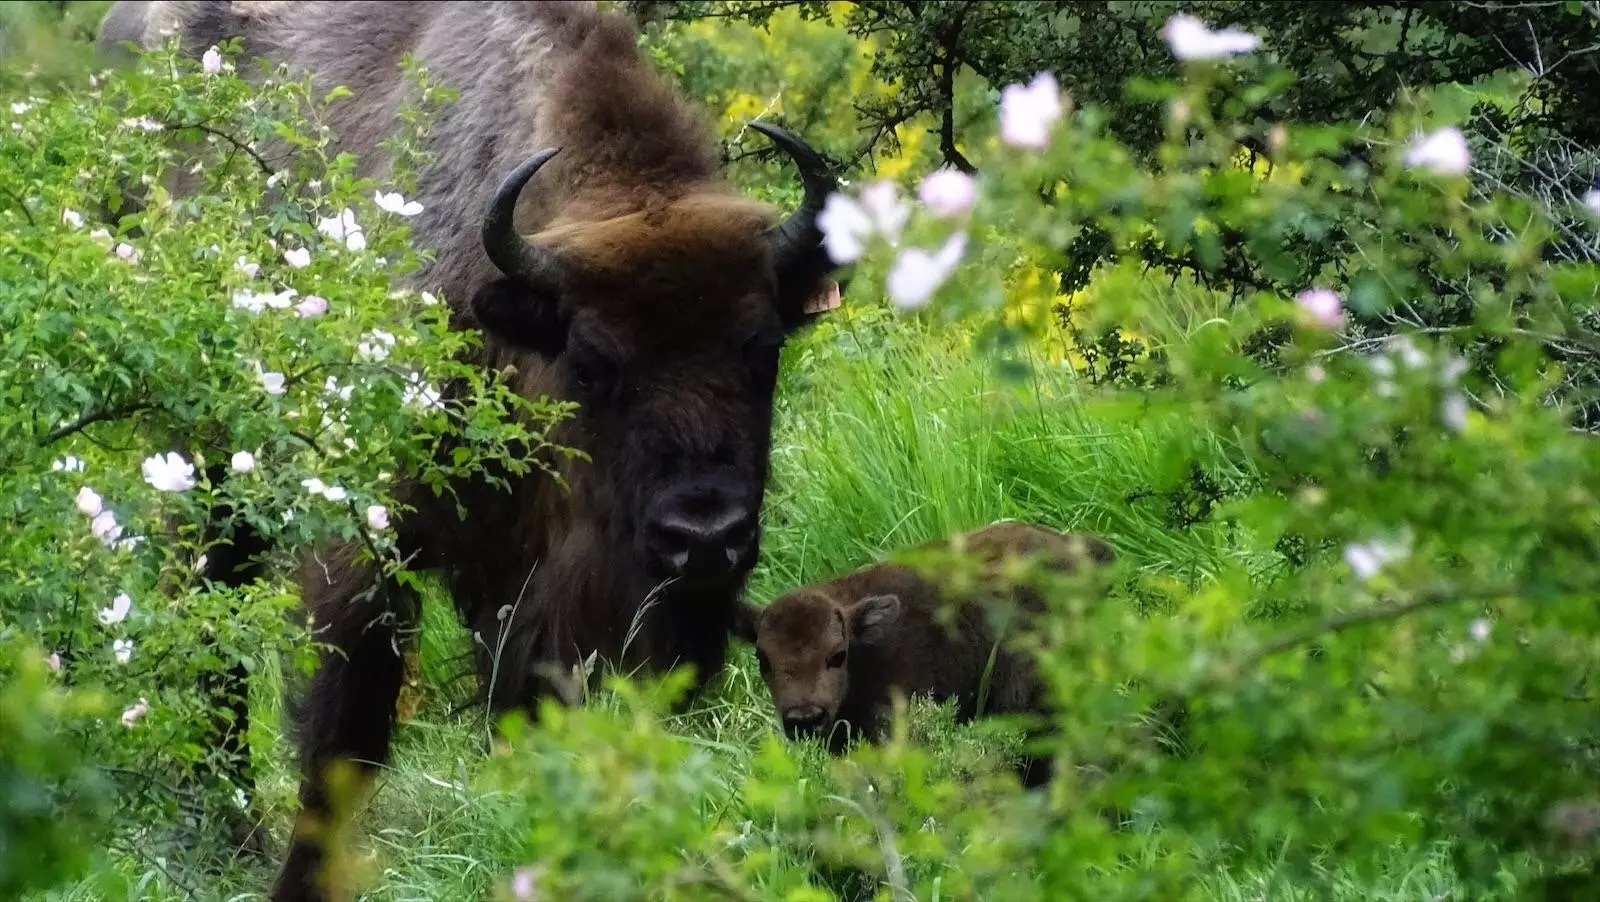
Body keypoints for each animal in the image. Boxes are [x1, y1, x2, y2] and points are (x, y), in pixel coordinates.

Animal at [96, 3, 851, 895]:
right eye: (592, 360)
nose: (705, 537)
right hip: (204, 462)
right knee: (206, 615)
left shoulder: (525, 583)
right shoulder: (362, 545)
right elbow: (342, 734)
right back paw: (222, 835)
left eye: (762, 346)